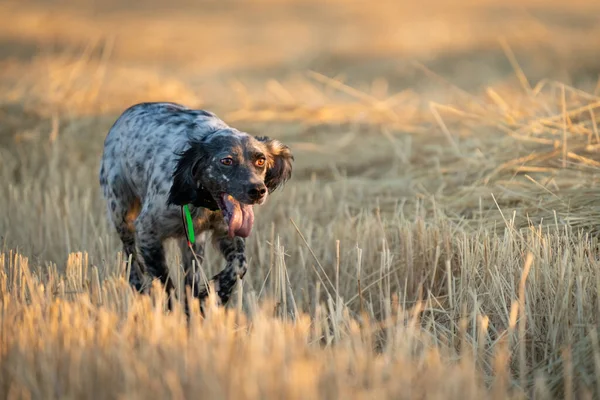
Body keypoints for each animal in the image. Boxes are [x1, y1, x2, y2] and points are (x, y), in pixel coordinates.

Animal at [99, 101, 294, 308]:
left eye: (260, 160)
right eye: (226, 161)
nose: (257, 191)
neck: (203, 201)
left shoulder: (225, 233)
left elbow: (239, 265)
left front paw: (214, 293)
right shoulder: (146, 232)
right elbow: (164, 283)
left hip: (194, 245)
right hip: (121, 213)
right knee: (130, 256)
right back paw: (138, 287)